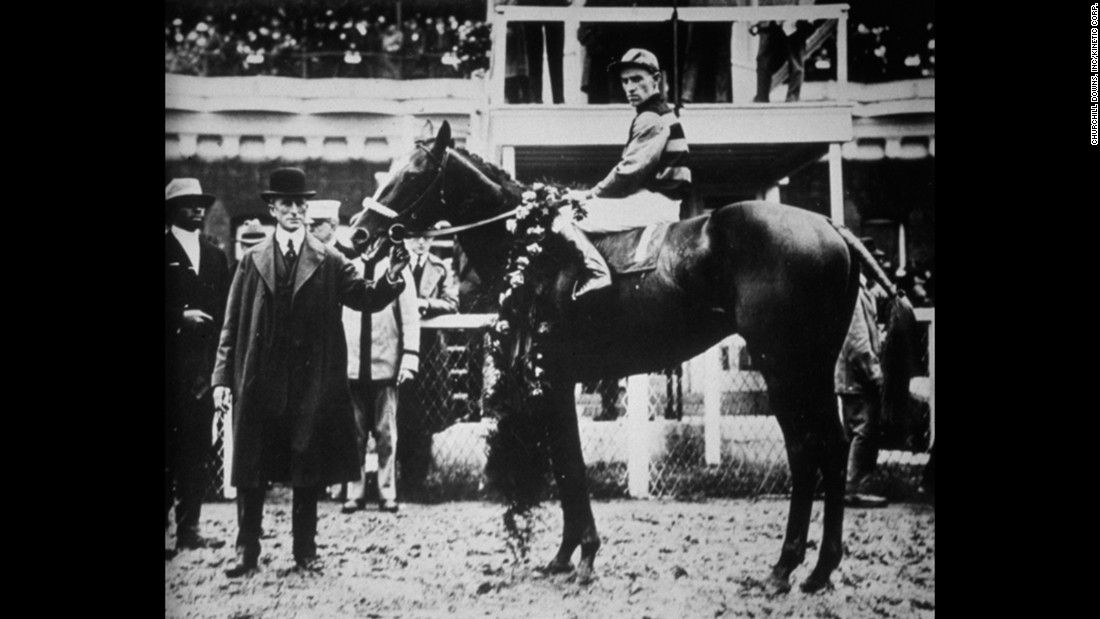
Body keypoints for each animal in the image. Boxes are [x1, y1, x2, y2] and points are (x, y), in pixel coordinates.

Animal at [354, 122, 919, 593]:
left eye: (414, 173)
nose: (359, 231)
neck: (536, 252)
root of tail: (828, 224)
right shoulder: (558, 386)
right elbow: (565, 466)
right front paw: (563, 556)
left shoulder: (554, 380)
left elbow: (570, 468)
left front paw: (582, 557)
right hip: (812, 369)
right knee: (832, 448)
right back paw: (820, 569)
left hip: (784, 368)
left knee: (807, 451)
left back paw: (786, 567)